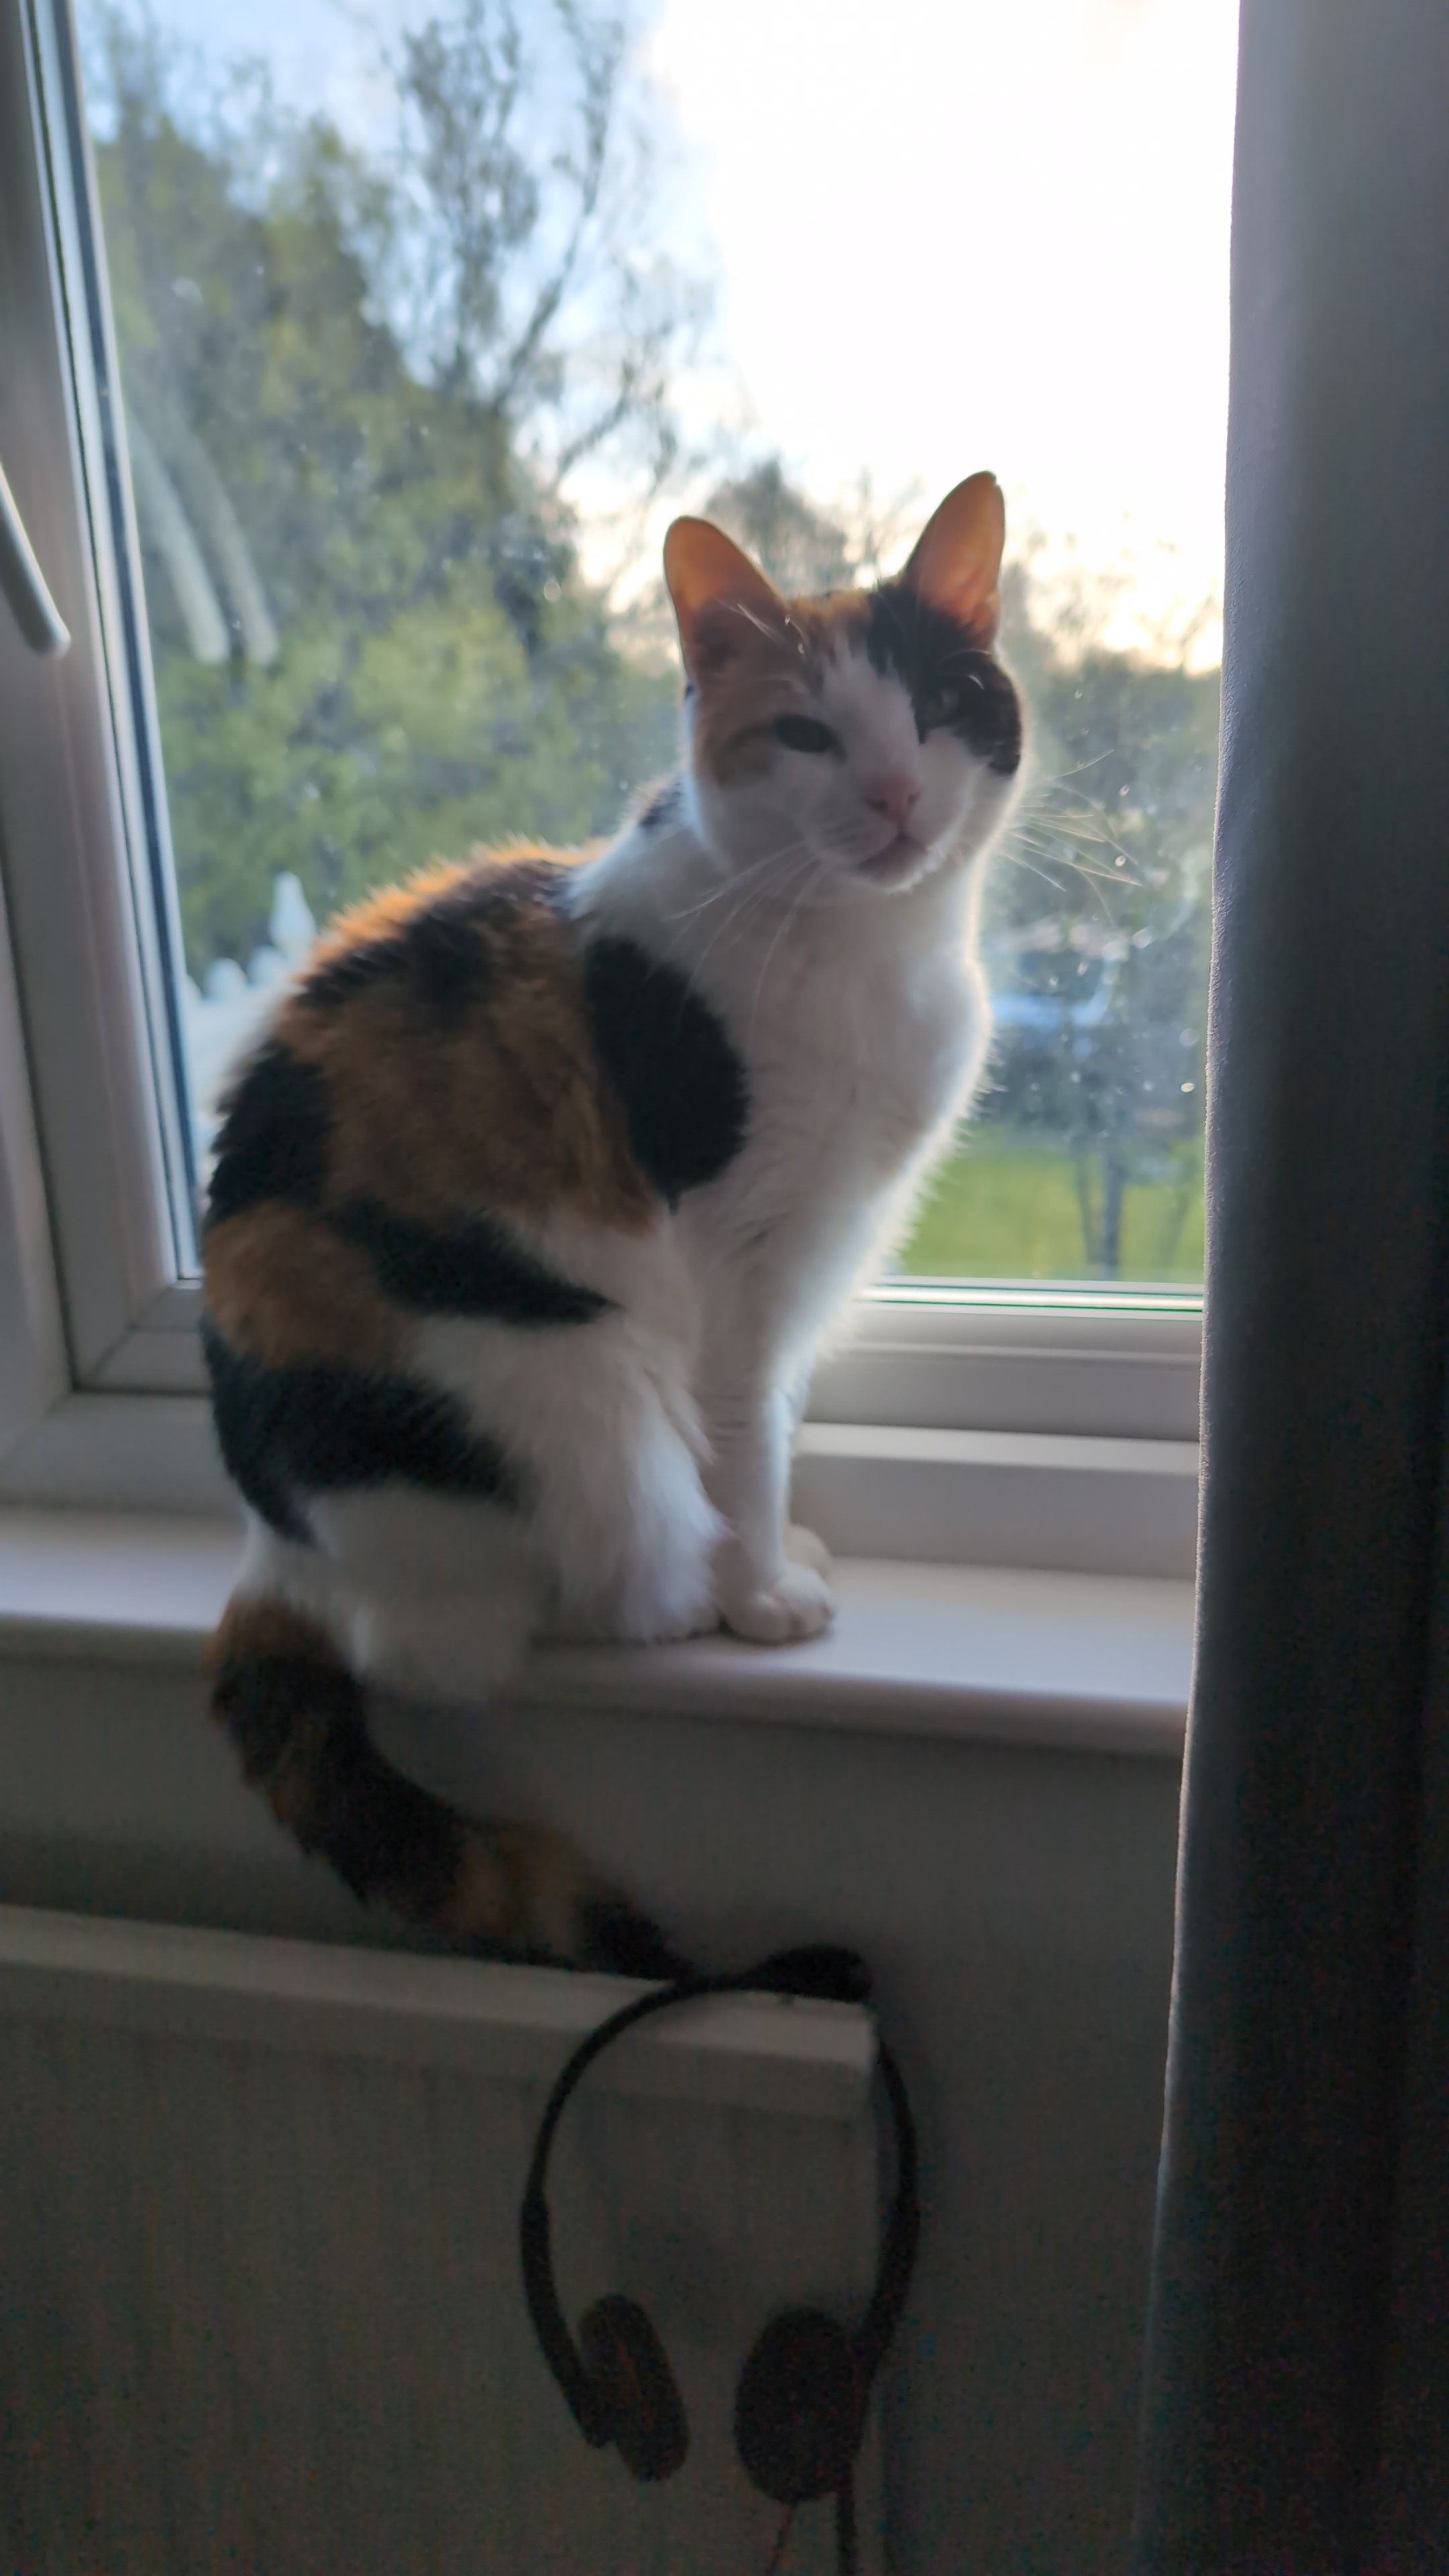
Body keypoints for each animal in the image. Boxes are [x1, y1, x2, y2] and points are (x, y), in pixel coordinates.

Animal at [203, 471, 1022, 1971]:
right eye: (807, 734)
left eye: (940, 705)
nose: (892, 793)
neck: (874, 954)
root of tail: (272, 1548)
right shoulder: (738, 1266)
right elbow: (749, 1437)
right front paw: (762, 1593)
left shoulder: (814, 1258)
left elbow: (782, 1424)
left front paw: (782, 1549)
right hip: (564, 1381)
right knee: (465, 1638)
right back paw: (683, 1593)